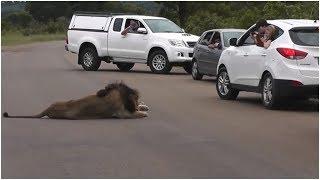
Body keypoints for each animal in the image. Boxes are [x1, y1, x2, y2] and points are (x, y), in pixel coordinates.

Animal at [2, 82, 149, 119]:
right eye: (135, 99)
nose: (137, 104)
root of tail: (47, 109)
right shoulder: (121, 113)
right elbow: (135, 114)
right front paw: (143, 112)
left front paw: (144, 107)